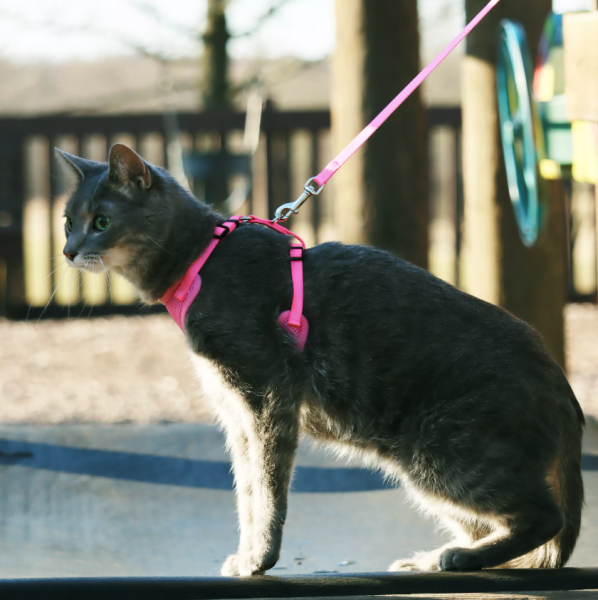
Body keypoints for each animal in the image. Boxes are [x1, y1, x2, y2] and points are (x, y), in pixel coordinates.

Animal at [57, 144, 584, 576]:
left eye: (100, 221)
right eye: (67, 220)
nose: (67, 250)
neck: (201, 258)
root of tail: (561, 389)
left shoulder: (267, 397)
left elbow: (268, 488)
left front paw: (260, 558)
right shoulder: (236, 415)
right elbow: (246, 491)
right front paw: (246, 552)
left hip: (443, 456)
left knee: (546, 517)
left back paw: (460, 557)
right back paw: (437, 557)